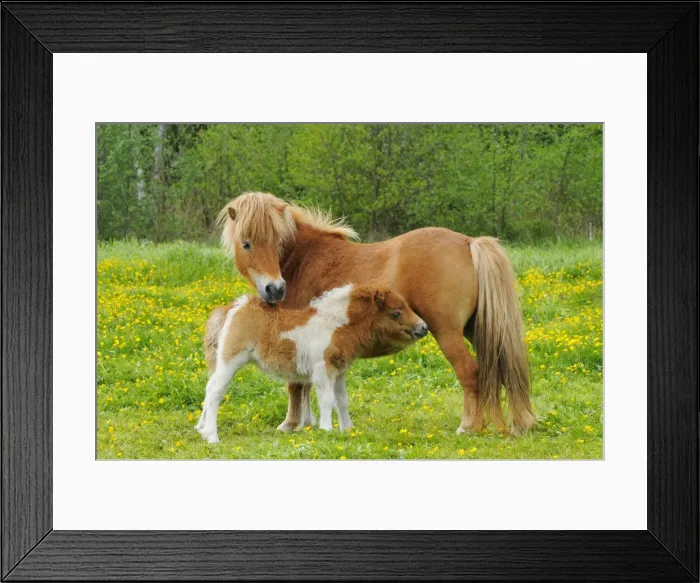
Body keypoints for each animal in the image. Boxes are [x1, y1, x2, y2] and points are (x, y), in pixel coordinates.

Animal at [196, 284, 427, 443]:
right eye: (395, 313)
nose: (423, 328)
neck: (335, 325)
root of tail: (232, 308)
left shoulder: (339, 371)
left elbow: (342, 400)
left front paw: (348, 430)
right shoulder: (323, 369)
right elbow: (327, 399)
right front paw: (327, 430)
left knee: (208, 388)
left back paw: (202, 430)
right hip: (230, 360)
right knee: (215, 392)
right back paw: (213, 437)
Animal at [217, 191, 533, 435]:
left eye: (277, 242)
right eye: (247, 243)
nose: (275, 289)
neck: (304, 260)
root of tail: (468, 242)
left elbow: (294, 384)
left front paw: (291, 424)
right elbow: (303, 383)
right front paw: (306, 422)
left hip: (448, 333)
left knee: (470, 373)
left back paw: (467, 427)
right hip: (478, 331)